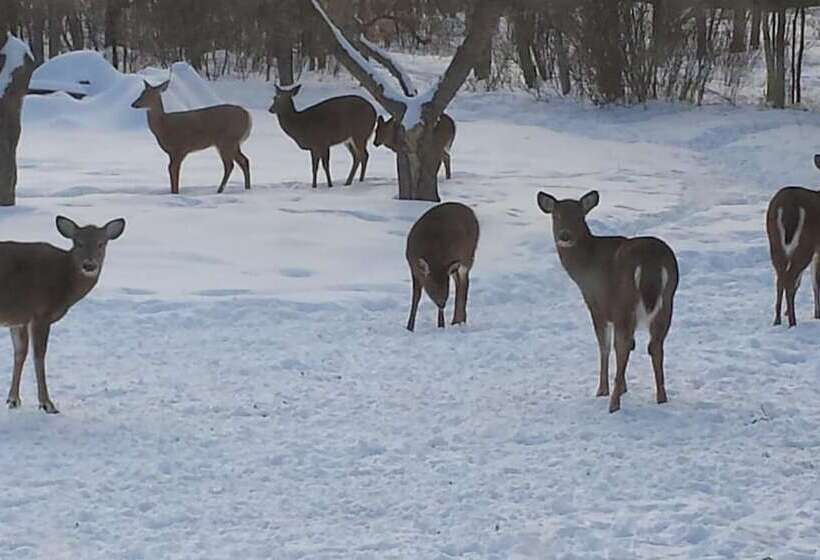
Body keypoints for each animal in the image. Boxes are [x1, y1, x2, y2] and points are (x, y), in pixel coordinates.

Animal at [2, 215, 125, 413]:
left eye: (101, 243)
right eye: (78, 243)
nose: (89, 265)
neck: (65, 281)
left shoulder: (19, 318)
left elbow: (20, 353)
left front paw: (13, 400)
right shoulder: (41, 313)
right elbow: (39, 355)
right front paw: (47, 404)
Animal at [405, 202, 479, 331]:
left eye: (446, 286)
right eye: (433, 286)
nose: (442, 303)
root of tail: (471, 212)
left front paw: (441, 325)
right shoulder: (413, 268)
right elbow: (416, 297)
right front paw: (410, 327)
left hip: (468, 256)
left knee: (464, 285)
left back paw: (457, 320)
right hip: (457, 266)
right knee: (460, 284)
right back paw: (459, 319)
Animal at [537, 190, 679, 413]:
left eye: (579, 216)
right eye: (556, 215)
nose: (565, 236)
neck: (584, 266)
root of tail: (650, 260)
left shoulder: (598, 305)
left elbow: (604, 346)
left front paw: (603, 390)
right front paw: (623, 387)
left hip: (625, 301)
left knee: (624, 345)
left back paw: (613, 403)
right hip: (667, 301)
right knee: (655, 346)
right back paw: (661, 398)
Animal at [765, 183, 820, 327]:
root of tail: (789, 207)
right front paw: (818, 314)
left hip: (775, 244)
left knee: (780, 279)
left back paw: (777, 320)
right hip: (805, 244)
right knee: (789, 279)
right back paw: (792, 322)